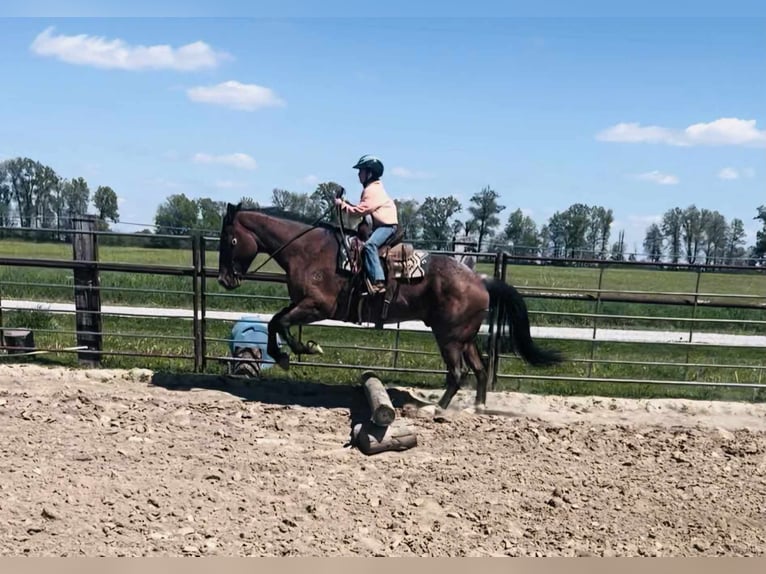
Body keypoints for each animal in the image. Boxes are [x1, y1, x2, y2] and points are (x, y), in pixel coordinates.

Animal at [216, 205, 564, 412]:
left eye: (230, 241)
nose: (224, 279)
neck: (310, 251)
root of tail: (480, 280)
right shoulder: (302, 304)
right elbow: (276, 321)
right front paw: (288, 353)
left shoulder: (317, 306)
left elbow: (280, 323)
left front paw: (301, 350)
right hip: (464, 337)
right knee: (479, 369)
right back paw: (476, 407)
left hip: (449, 337)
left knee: (458, 372)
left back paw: (437, 408)